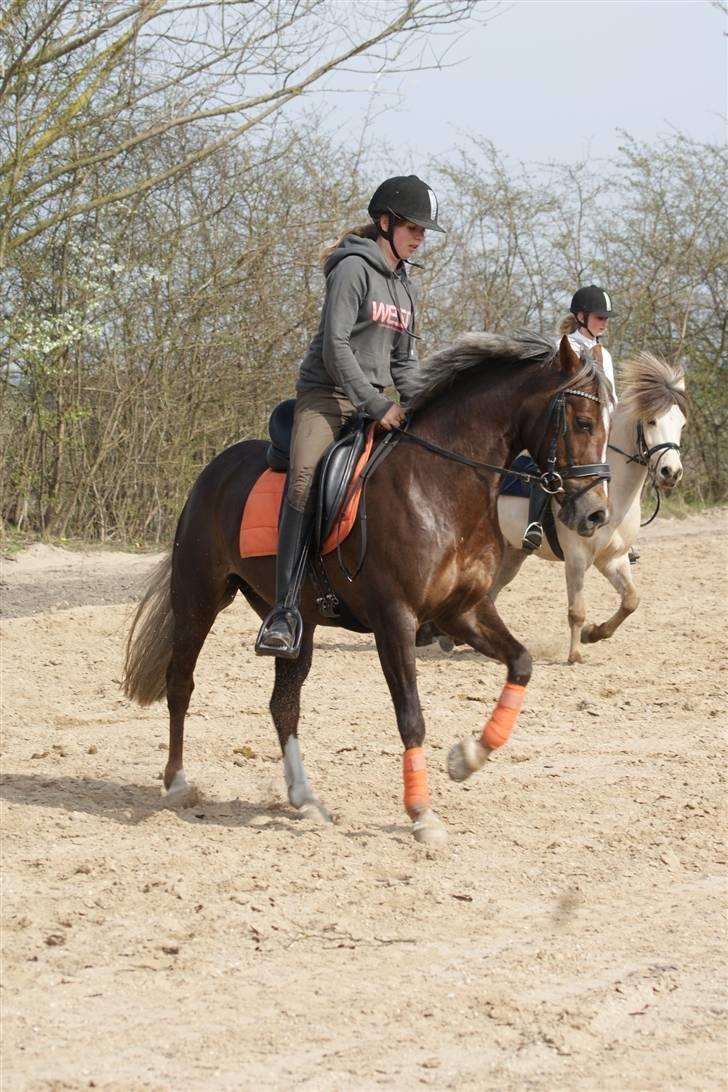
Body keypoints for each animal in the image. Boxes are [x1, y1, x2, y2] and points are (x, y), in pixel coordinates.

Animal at [122, 331, 611, 843]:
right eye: (582, 421)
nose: (596, 515)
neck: (441, 484)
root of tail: (214, 469)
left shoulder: (464, 610)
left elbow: (521, 662)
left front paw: (467, 759)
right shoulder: (395, 618)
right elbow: (411, 715)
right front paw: (422, 814)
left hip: (297, 622)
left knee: (283, 704)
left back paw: (306, 800)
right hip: (198, 597)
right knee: (181, 683)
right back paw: (178, 784)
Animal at [493, 355, 685, 663]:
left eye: (681, 424)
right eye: (651, 421)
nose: (671, 472)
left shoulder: (613, 559)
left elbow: (631, 600)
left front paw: (593, 634)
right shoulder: (577, 557)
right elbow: (576, 610)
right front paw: (574, 655)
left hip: (513, 553)